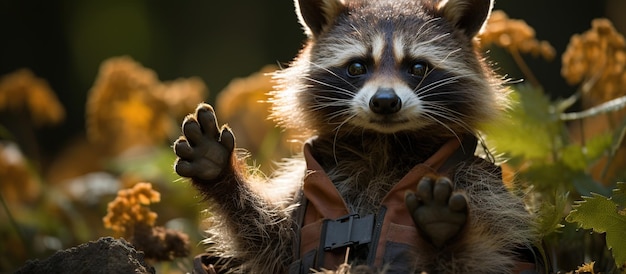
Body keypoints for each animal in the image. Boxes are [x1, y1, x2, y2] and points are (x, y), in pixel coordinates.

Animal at [174, 0, 536, 274]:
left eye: (418, 68)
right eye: (357, 67)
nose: (385, 101)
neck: (385, 143)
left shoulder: (485, 191)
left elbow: (497, 258)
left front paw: (446, 236)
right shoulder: (299, 191)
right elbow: (270, 245)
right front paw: (219, 172)